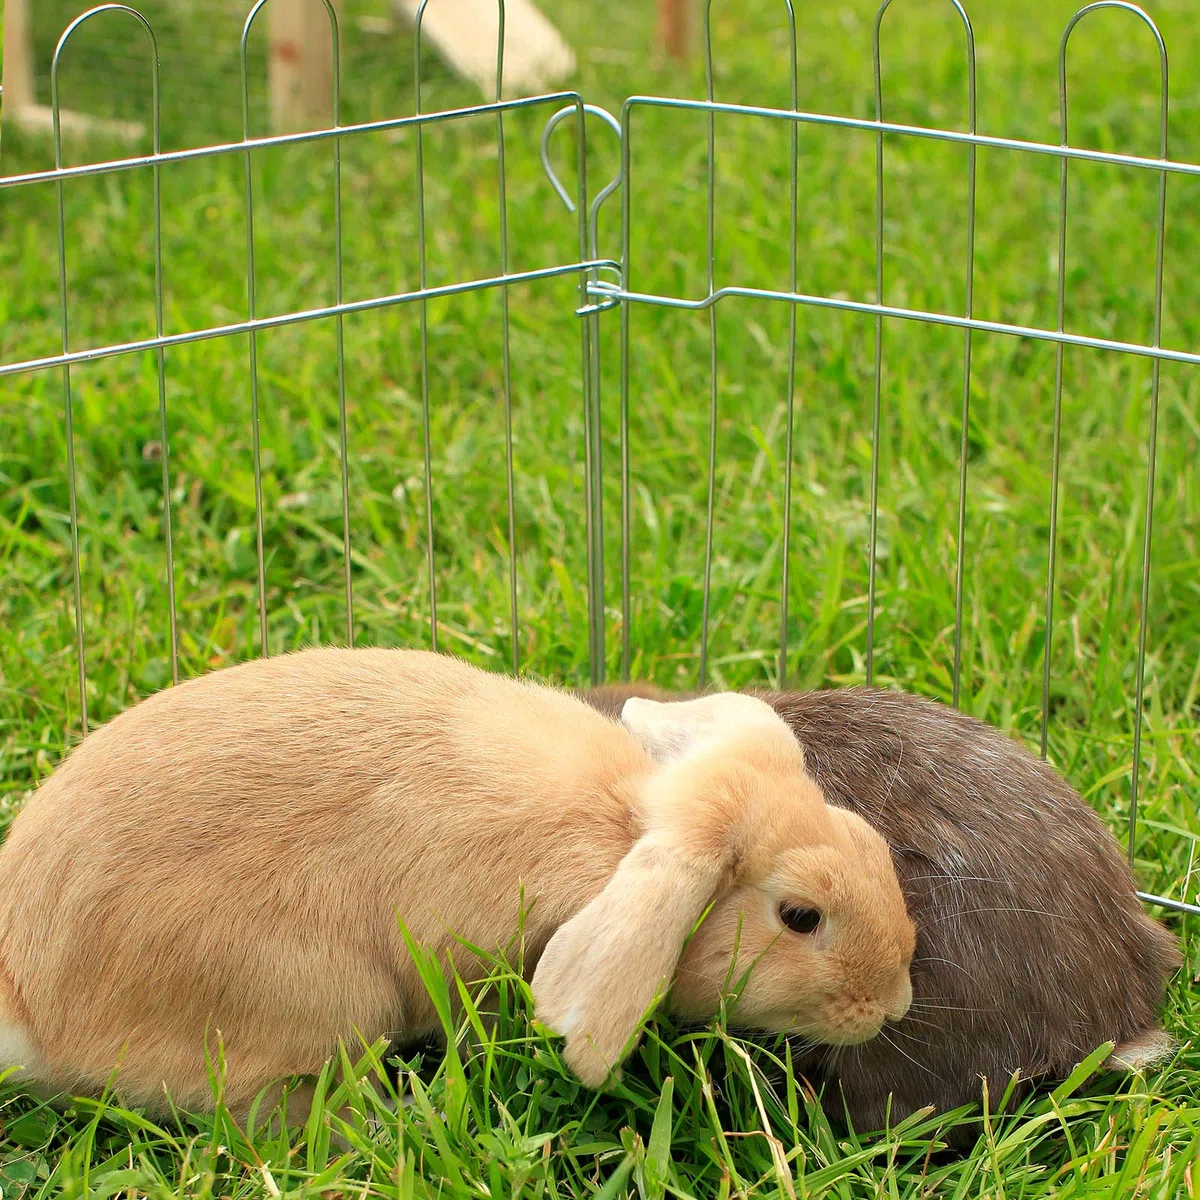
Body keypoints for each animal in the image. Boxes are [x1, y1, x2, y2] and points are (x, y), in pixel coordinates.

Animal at [0, 647, 916, 1122]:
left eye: (869, 841)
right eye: (801, 916)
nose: (895, 1002)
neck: (621, 828)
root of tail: (33, 1009)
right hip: (321, 999)